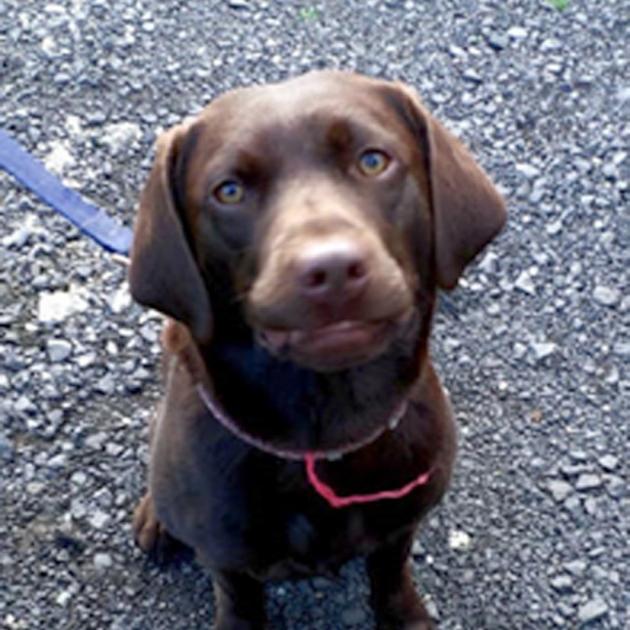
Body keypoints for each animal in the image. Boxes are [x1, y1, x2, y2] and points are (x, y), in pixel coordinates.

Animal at [130, 71, 508, 628]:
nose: (330, 269)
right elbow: (238, 600)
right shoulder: (227, 558)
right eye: (229, 191)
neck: (329, 429)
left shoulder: (401, 524)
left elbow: (391, 574)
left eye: (373, 160)